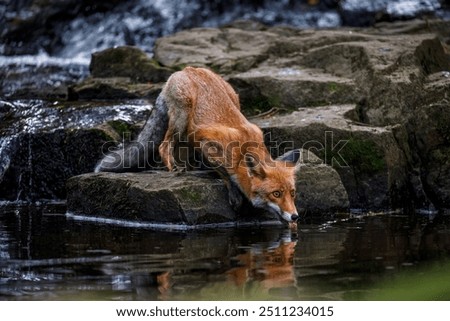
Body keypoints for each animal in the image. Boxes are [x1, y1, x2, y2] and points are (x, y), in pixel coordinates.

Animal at [96, 66, 300, 222]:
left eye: (292, 193)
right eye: (276, 194)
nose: (295, 217)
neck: (243, 149)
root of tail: (187, 69)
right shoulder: (208, 144)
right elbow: (224, 172)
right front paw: (234, 194)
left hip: (232, 99)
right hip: (182, 114)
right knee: (164, 145)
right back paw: (173, 168)